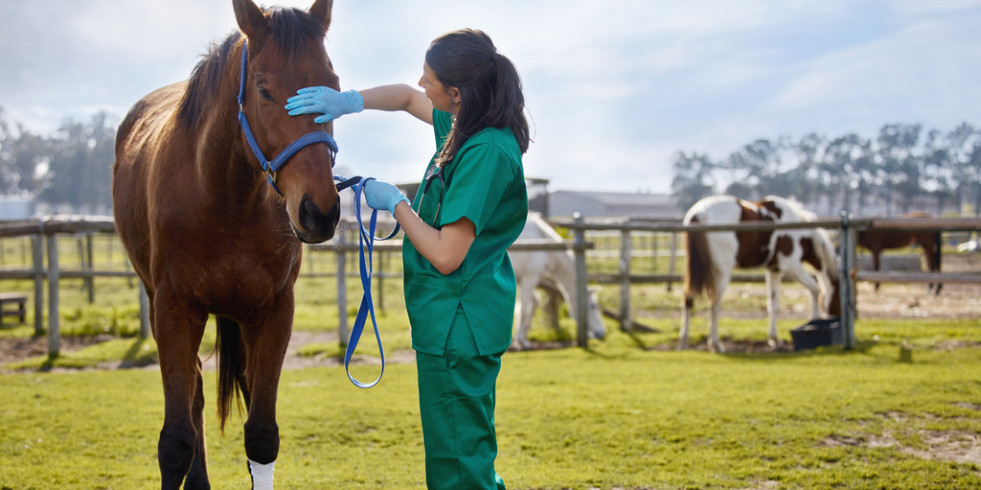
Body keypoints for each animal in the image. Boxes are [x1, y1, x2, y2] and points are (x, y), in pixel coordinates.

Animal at [110, 1, 338, 488]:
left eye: (332, 85)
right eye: (265, 90)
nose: (319, 210)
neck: (225, 198)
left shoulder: (274, 312)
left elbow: (262, 434)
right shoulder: (174, 310)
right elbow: (175, 441)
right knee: (194, 394)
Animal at [676, 195, 840, 352]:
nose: (837, 317)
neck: (799, 232)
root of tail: (699, 214)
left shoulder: (773, 269)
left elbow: (773, 304)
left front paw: (775, 340)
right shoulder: (792, 266)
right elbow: (815, 289)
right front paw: (814, 321)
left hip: (695, 270)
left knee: (688, 298)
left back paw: (684, 342)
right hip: (722, 271)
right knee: (714, 304)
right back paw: (716, 344)